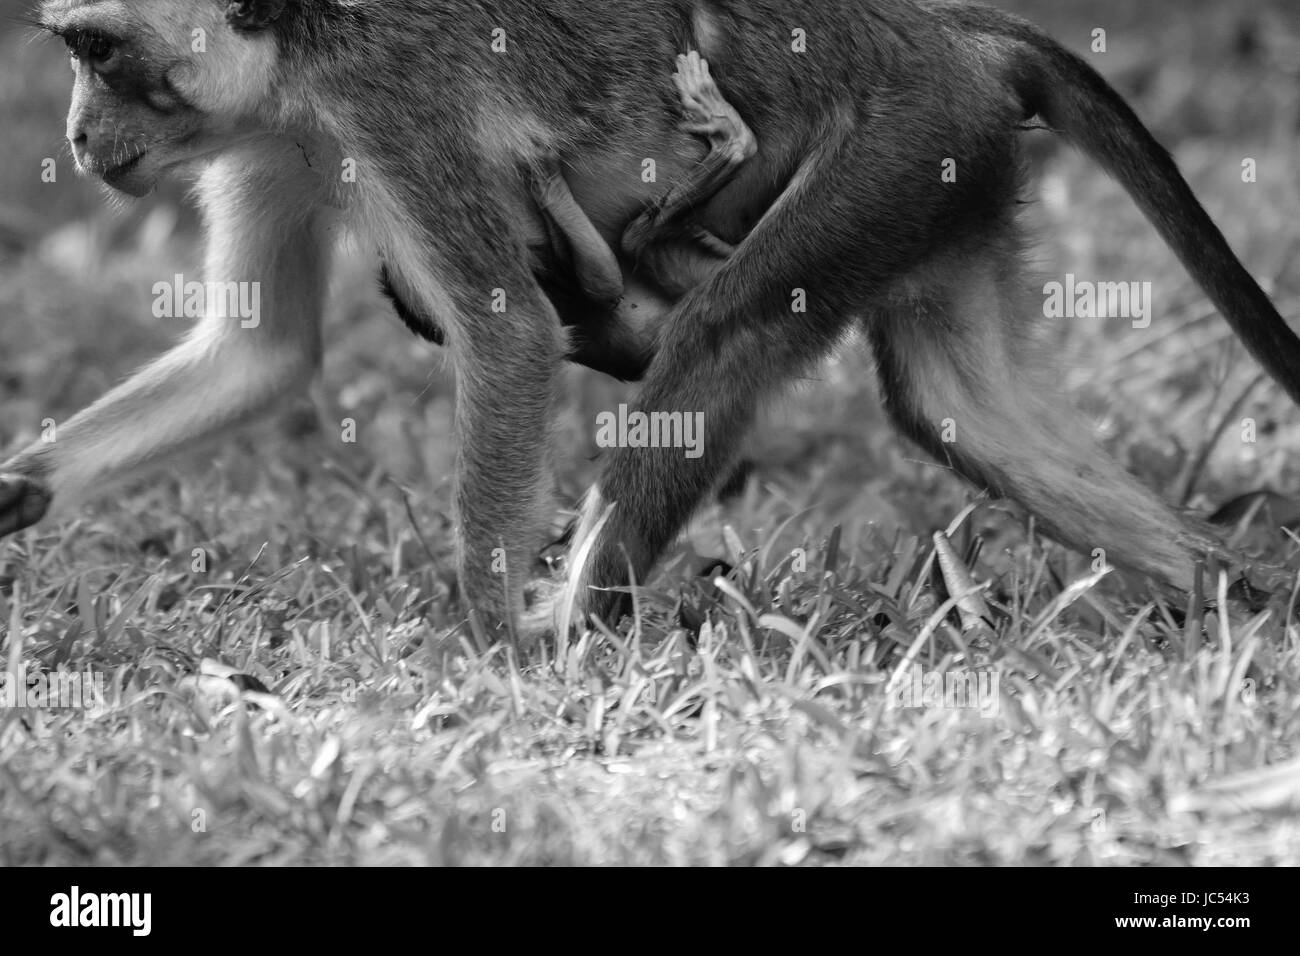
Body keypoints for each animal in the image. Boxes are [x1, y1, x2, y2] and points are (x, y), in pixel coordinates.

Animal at [2, 3, 1300, 639]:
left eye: (98, 51)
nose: (73, 135)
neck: (298, 47)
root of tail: (950, 32)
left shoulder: (389, 113)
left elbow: (508, 333)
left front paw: (489, 646)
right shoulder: (275, 140)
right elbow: (261, 358)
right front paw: (21, 486)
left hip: (899, 135)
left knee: (721, 340)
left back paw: (571, 629)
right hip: (946, 169)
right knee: (963, 413)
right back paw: (1237, 608)